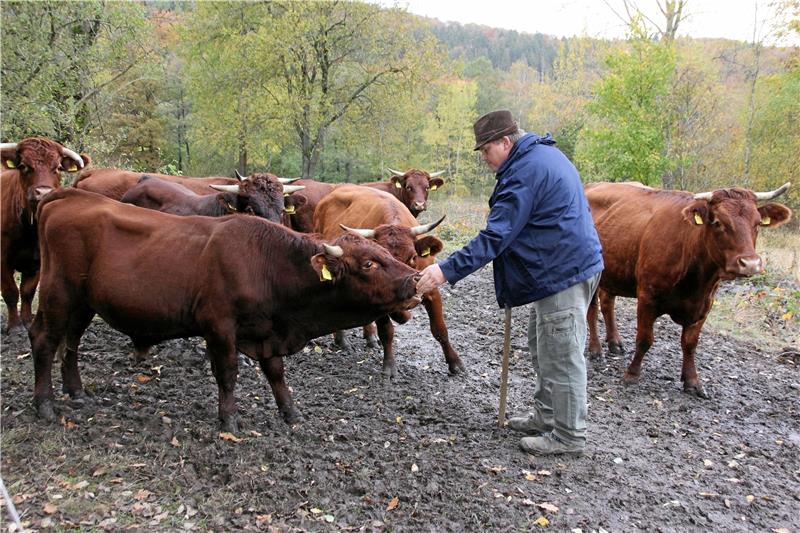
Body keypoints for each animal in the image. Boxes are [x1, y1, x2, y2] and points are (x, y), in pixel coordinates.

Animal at [1, 137, 88, 334]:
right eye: (24, 166)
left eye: (57, 167)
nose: (43, 193)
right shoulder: (2, 259)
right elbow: (10, 292)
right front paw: (15, 325)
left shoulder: (39, 262)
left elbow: (27, 292)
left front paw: (26, 321)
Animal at [29, 188, 422, 432]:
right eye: (369, 264)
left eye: (390, 254)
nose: (414, 280)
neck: (266, 264)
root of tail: (66, 196)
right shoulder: (219, 327)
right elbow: (228, 374)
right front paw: (229, 420)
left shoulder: (266, 332)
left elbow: (276, 373)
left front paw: (290, 413)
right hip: (58, 295)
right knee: (45, 340)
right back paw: (45, 404)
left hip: (83, 302)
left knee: (71, 342)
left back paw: (77, 392)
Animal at [314, 185, 464, 376]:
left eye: (413, 256)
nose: (410, 286)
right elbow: (387, 331)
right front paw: (389, 366)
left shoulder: (431, 288)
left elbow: (440, 330)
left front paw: (455, 363)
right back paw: (342, 339)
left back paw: (369, 336)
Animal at [585, 181, 792, 398]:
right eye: (717, 222)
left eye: (758, 223)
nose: (750, 264)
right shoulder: (647, 298)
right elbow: (644, 339)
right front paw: (632, 374)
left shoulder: (705, 304)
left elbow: (690, 344)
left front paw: (692, 381)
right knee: (592, 310)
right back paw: (596, 349)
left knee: (607, 303)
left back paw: (614, 343)